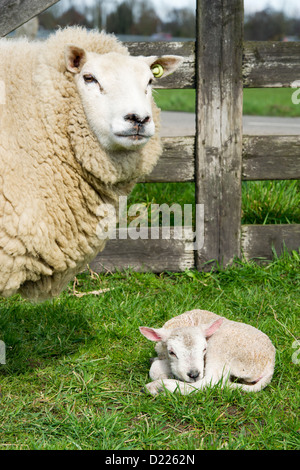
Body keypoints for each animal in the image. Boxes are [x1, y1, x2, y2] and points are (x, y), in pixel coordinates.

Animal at [139, 310, 276, 394]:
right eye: (172, 352)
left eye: (204, 349)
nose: (193, 374)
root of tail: (270, 367)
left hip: (222, 349)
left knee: (211, 381)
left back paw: (159, 387)